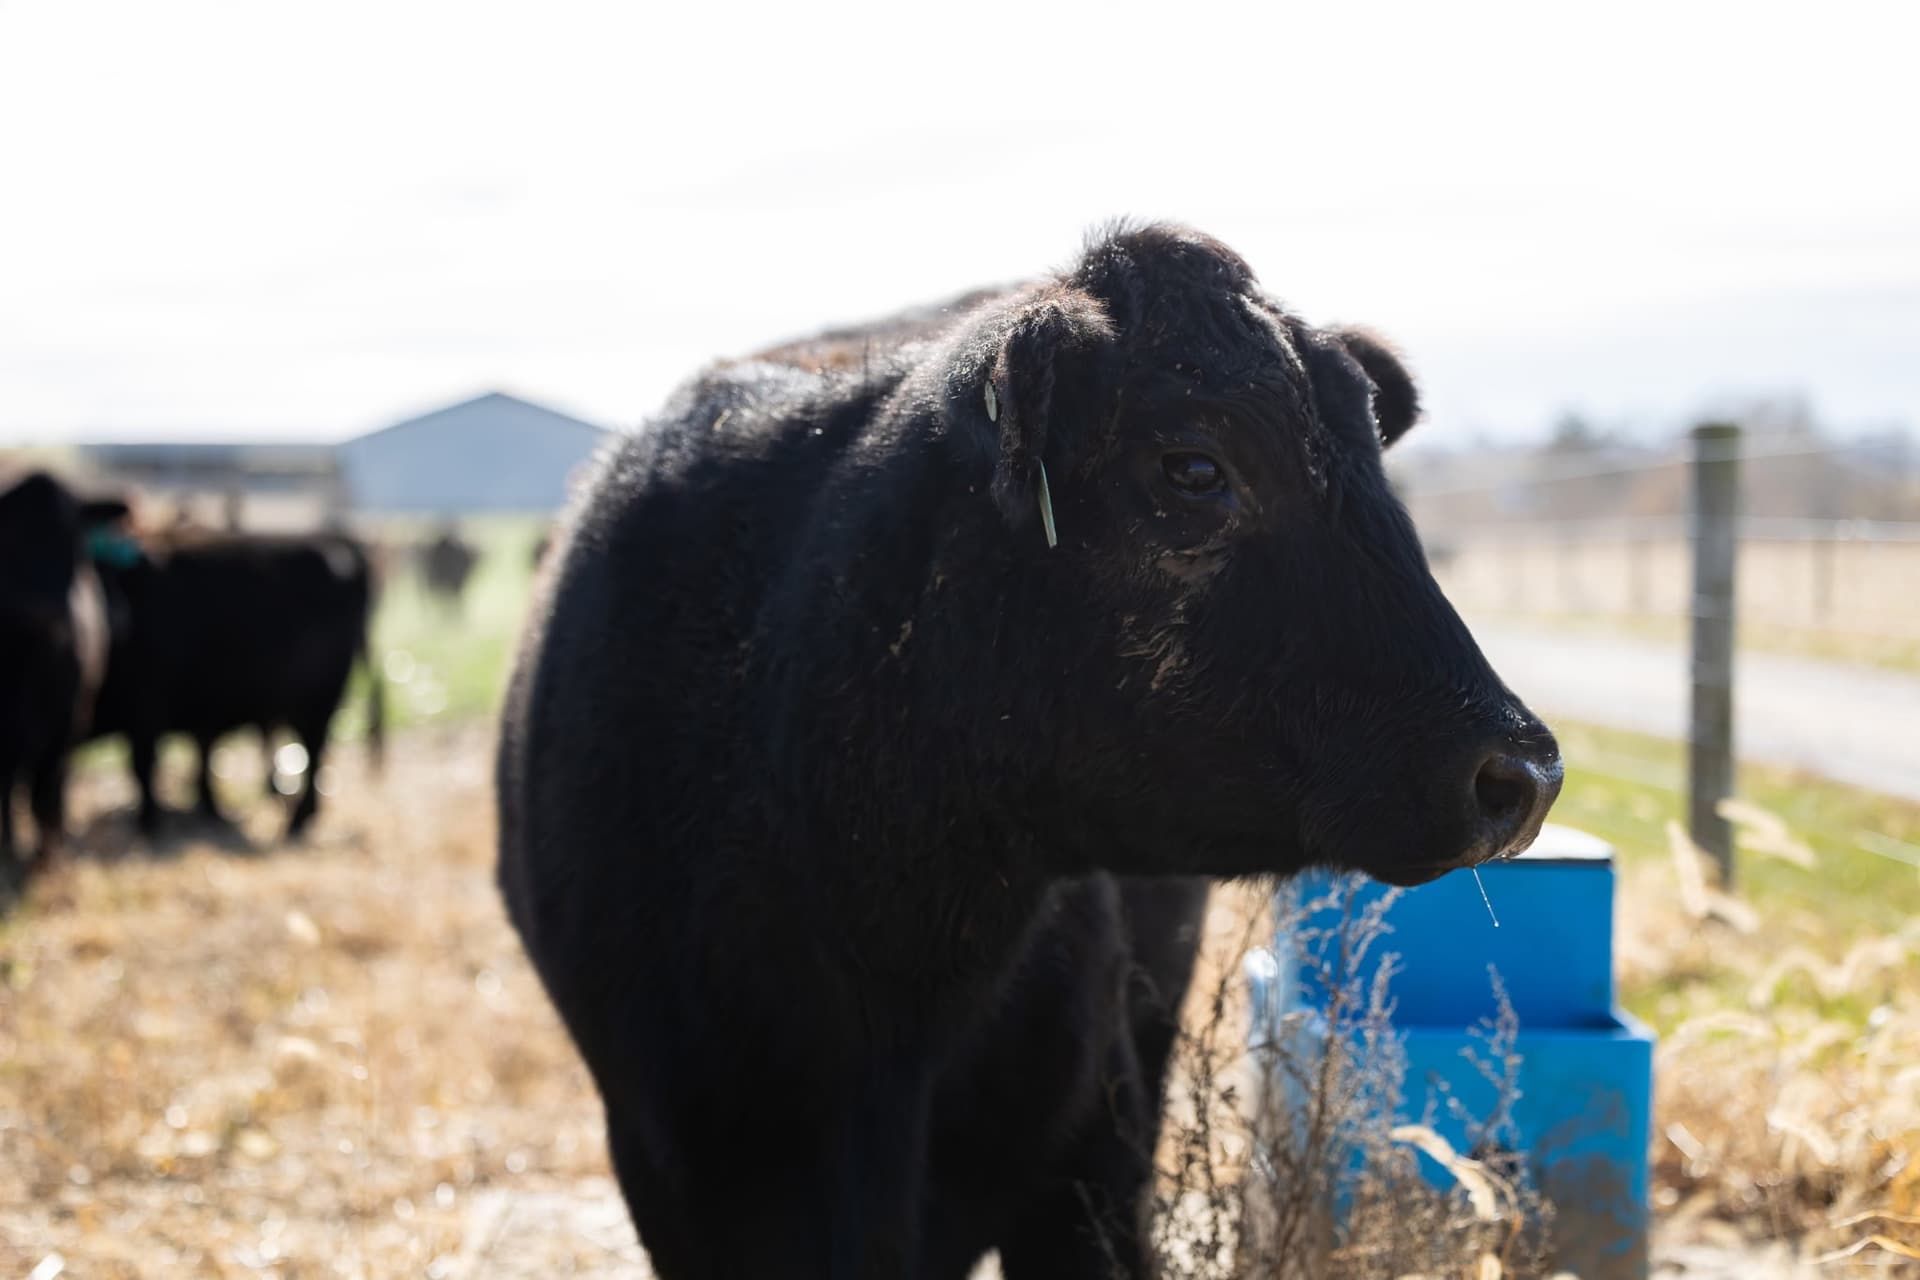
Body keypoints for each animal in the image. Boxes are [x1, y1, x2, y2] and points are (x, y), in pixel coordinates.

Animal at [0, 471, 125, 893]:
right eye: (10, 537)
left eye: (74, 542)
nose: (48, 609)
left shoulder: (67, 720)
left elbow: (46, 792)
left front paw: (46, 860)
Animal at [89, 530, 386, 839]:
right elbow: (197, 758)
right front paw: (204, 809)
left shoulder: (147, 710)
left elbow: (144, 768)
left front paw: (151, 824)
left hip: (316, 703)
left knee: (314, 752)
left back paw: (295, 822)